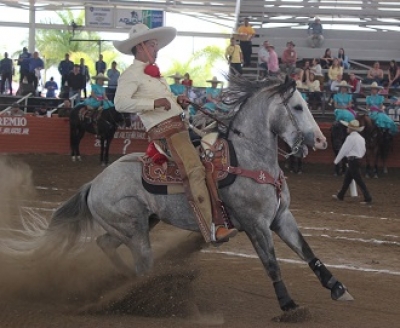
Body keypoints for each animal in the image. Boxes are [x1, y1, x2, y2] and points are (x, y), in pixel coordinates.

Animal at [45, 76, 352, 316]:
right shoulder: (256, 226)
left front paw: (337, 288)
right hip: (135, 233)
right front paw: (288, 305)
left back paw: (123, 281)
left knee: (105, 243)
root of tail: (93, 184)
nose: (321, 140)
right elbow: (272, 265)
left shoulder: (281, 217)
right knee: (141, 265)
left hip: (138, 225)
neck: (250, 160)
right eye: (298, 107)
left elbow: (308, 252)